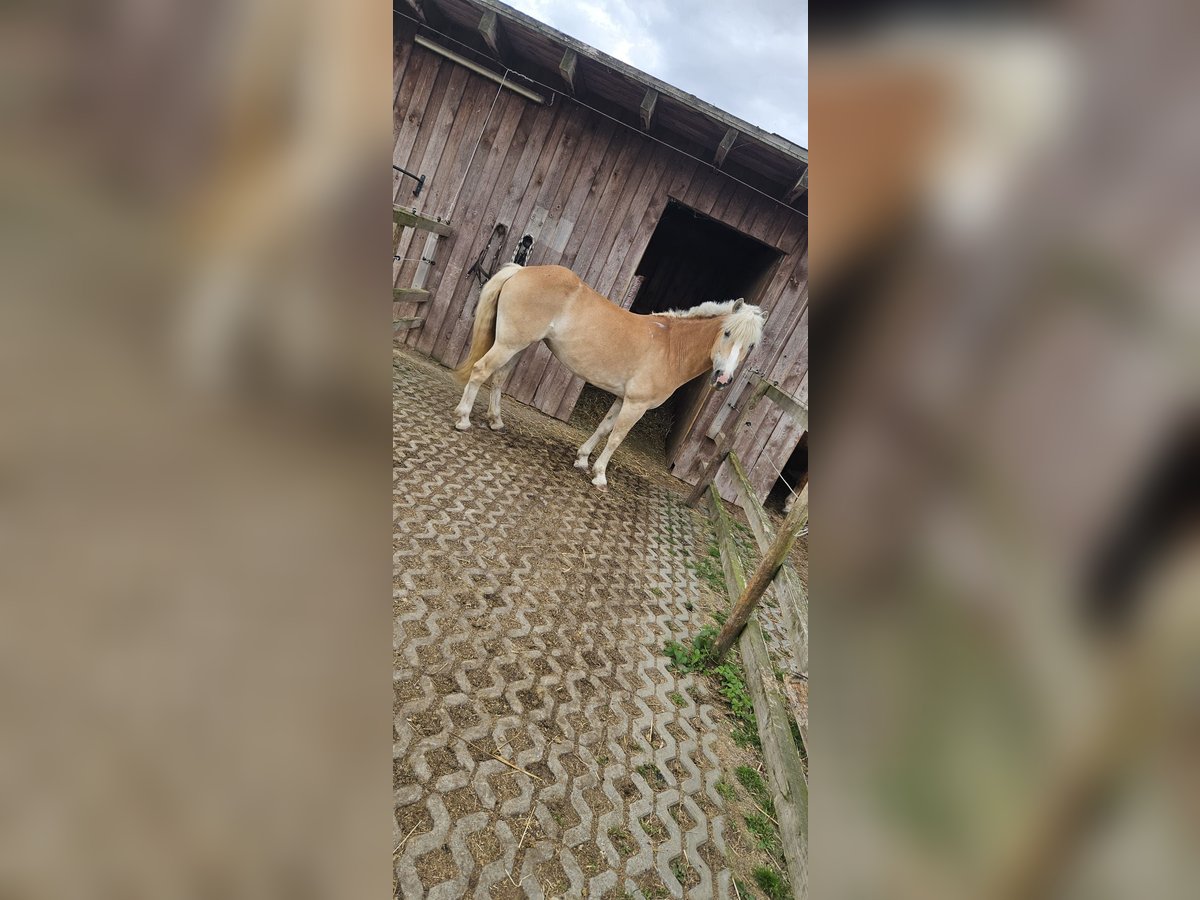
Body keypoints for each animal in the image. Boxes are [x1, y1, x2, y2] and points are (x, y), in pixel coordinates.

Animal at [453, 264, 763, 489]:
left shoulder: (622, 398)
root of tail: (522, 270)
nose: (723, 379)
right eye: (727, 333)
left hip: (518, 346)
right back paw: (464, 419)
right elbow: (616, 437)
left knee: (498, 378)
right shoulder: (636, 404)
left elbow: (604, 428)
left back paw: (496, 422)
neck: (671, 346)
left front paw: (582, 459)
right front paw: (600, 475)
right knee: (481, 371)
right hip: (509, 343)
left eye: (751, 346)